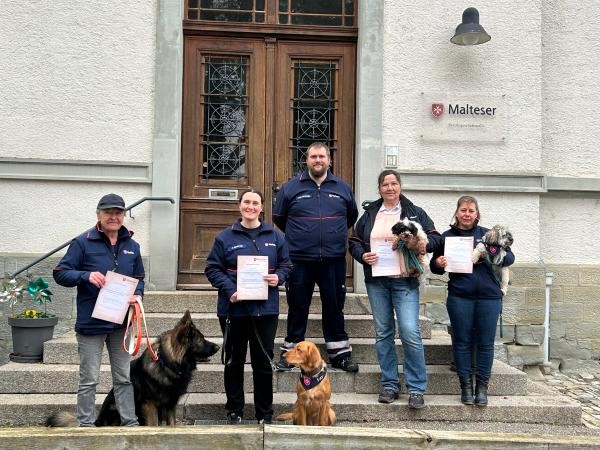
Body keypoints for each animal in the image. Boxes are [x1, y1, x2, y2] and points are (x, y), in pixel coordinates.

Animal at [47, 312, 219, 428]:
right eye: (201, 340)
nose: (218, 347)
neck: (166, 363)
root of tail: (97, 422)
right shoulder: (150, 405)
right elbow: (154, 425)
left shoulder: (170, 404)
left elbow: (172, 425)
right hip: (115, 407)